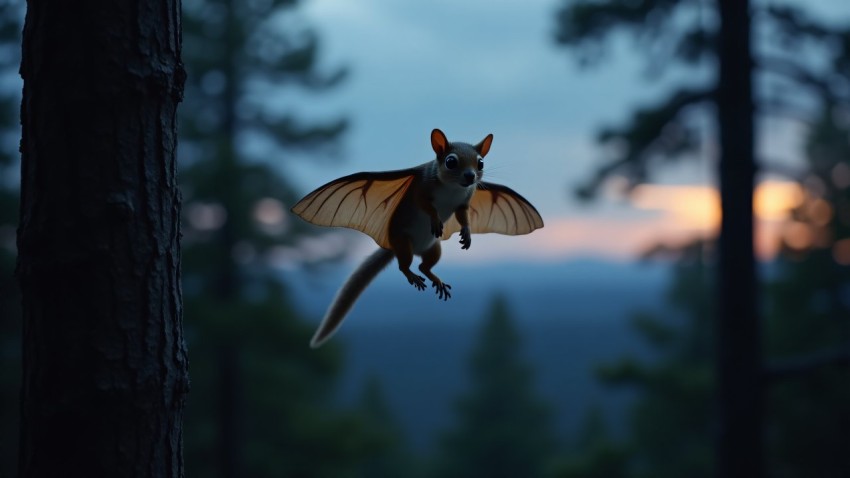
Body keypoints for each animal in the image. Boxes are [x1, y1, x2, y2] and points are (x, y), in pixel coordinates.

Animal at [290, 129, 544, 348]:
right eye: (451, 161)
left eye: (480, 163)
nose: (471, 176)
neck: (452, 187)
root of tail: (396, 246)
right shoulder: (421, 188)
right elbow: (426, 206)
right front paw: (435, 219)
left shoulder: (465, 199)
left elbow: (463, 215)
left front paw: (466, 234)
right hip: (403, 242)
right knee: (405, 265)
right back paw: (412, 275)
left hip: (434, 248)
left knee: (425, 265)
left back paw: (435, 279)